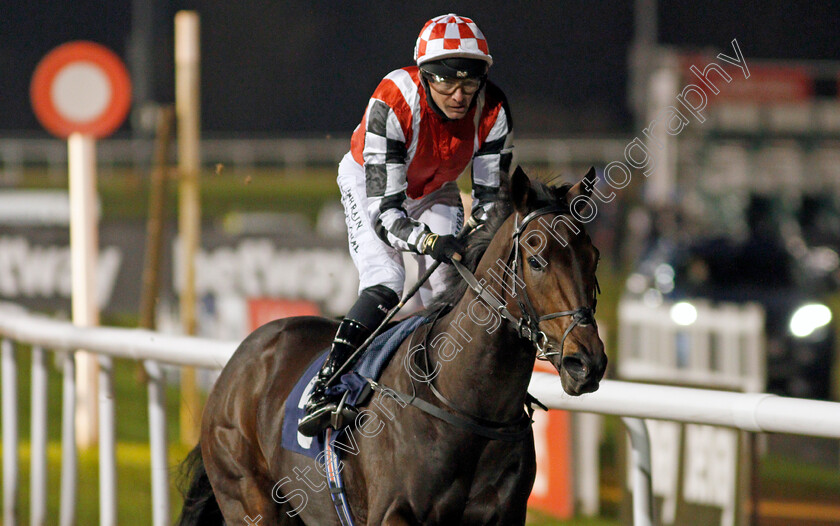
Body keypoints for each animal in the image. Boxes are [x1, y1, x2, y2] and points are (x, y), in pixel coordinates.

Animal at [177, 166, 604, 526]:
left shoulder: (506, 515)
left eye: (593, 257)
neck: (468, 405)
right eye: (536, 259)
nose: (587, 362)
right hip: (247, 495)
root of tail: (243, 356)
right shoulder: (394, 513)